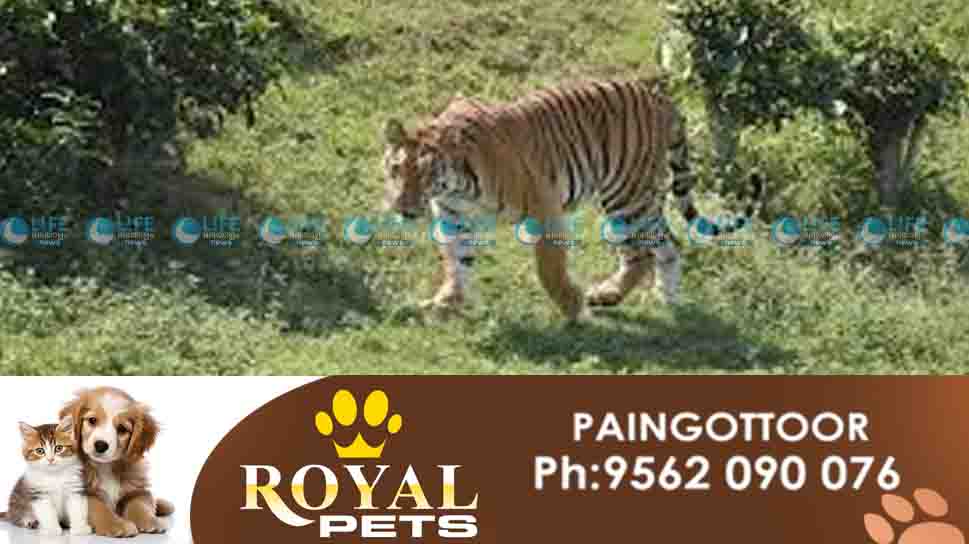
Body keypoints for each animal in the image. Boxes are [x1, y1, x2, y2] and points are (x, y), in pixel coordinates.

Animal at [381, 77, 760, 321]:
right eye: (398, 168)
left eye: (426, 174)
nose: (404, 208)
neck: (455, 187)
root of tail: (660, 98)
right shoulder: (453, 219)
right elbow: (456, 263)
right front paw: (444, 303)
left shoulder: (544, 208)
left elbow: (548, 268)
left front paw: (574, 311)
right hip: (637, 199)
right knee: (668, 244)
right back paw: (665, 299)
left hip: (625, 196)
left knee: (641, 253)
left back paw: (607, 295)